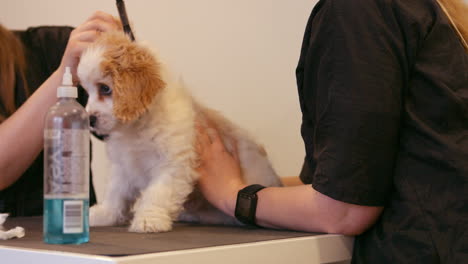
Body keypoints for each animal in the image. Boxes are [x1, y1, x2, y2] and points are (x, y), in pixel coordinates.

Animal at [77, 31, 282, 233]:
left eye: (105, 88)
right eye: (87, 92)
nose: (90, 119)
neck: (136, 128)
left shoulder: (172, 164)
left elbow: (157, 193)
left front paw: (149, 218)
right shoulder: (123, 167)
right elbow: (115, 194)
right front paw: (104, 214)